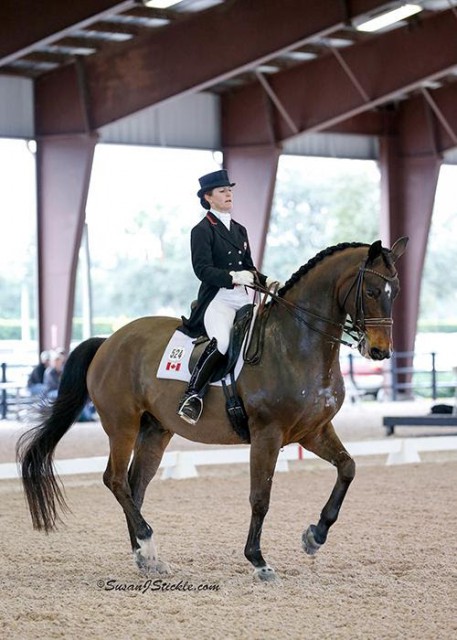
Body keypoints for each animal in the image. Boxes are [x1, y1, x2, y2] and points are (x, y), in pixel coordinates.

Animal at [16, 238, 406, 584]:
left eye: (396, 292)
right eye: (372, 291)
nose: (379, 351)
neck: (295, 345)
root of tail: (108, 341)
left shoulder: (312, 431)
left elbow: (348, 468)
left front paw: (315, 535)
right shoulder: (267, 434)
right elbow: (260, 497)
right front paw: (259, 561)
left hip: (155, 429)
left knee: (134, 485)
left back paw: (145, 556)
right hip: (121, 425)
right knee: (115, 480)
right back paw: (148, 545)